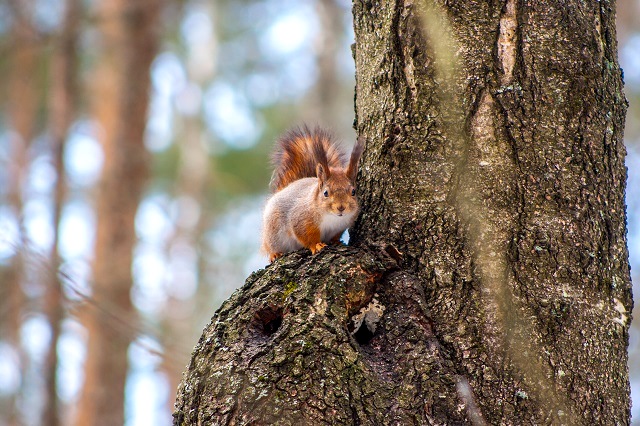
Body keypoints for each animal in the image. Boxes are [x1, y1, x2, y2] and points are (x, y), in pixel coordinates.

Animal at [262, 125, 364, 262]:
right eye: (325, 193)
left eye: (353, 191)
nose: (341, 207)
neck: (331, 217)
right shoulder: (301, 219)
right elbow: (305, 236)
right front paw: (316, 245)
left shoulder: (341, 226)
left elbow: (336, 235)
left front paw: (336, 241)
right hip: (273, 232)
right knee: (271, 246)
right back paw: (275, 254)